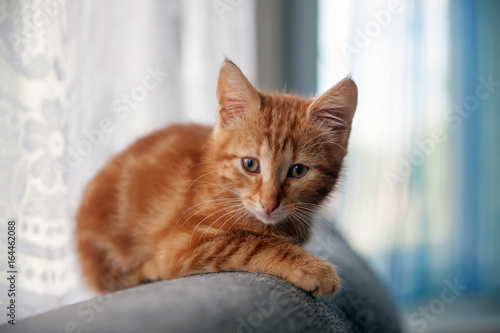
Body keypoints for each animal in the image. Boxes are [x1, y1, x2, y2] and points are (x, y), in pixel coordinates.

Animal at [75, 58, 356, 294]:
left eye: (298, 171)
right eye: (250, 164)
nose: (269, 204)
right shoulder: (181, 244)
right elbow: (251, 244)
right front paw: (312, 268)